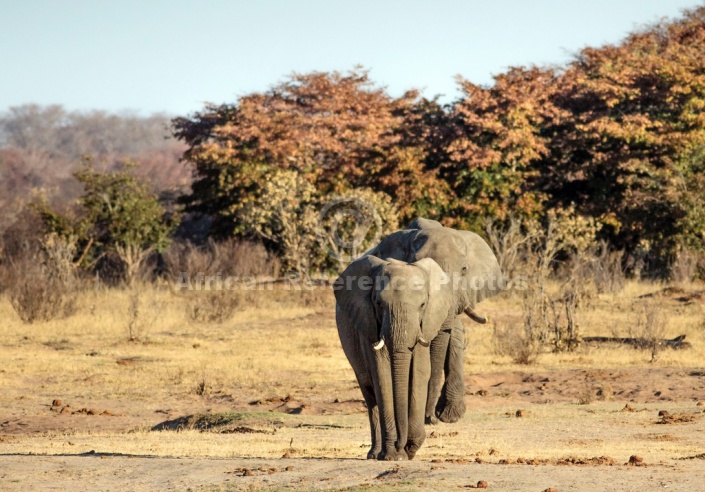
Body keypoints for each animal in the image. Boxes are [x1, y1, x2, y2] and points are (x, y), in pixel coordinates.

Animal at [334, 256, 454, 460]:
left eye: (423, 305)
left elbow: (420, 372)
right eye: (378, 304)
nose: (401, 445)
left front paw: (410, 447)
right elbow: (382, 376)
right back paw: (375, 454)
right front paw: (393, 455)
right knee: (369, 393)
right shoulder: (369, 324)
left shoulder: (424, 326)